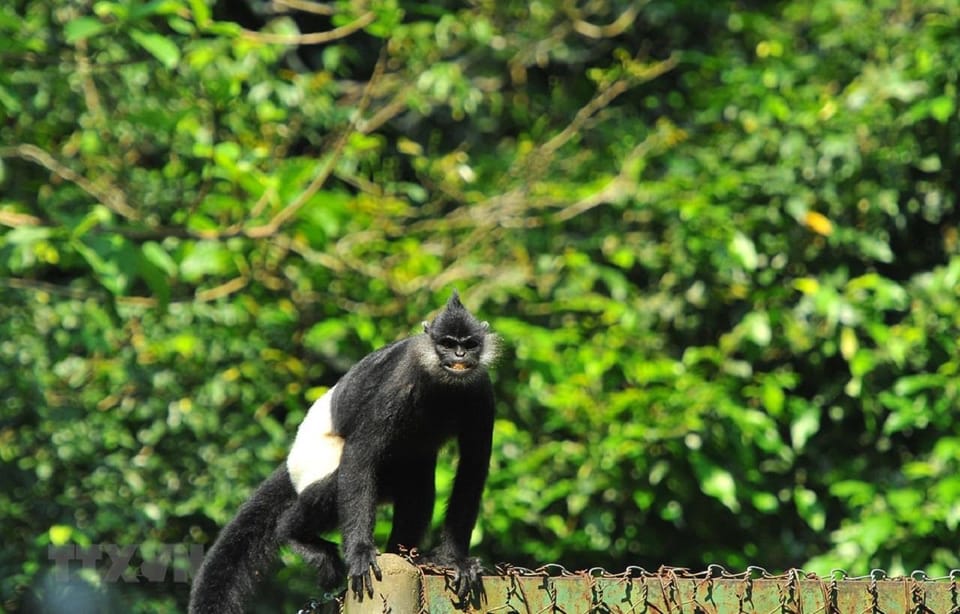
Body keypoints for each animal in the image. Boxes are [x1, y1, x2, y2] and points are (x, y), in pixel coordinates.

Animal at [189, 294, 502, 614]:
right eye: (447, 343)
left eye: (470, 344)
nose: (460, 355)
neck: (442, 384)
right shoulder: (400, 381)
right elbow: (361, 451)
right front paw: (360, 552)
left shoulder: (481, 391)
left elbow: (473, 467)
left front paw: (454, 561)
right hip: (313, 464)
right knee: (331, 484)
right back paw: (295, 534)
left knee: (418, 488)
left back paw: (407, 555)